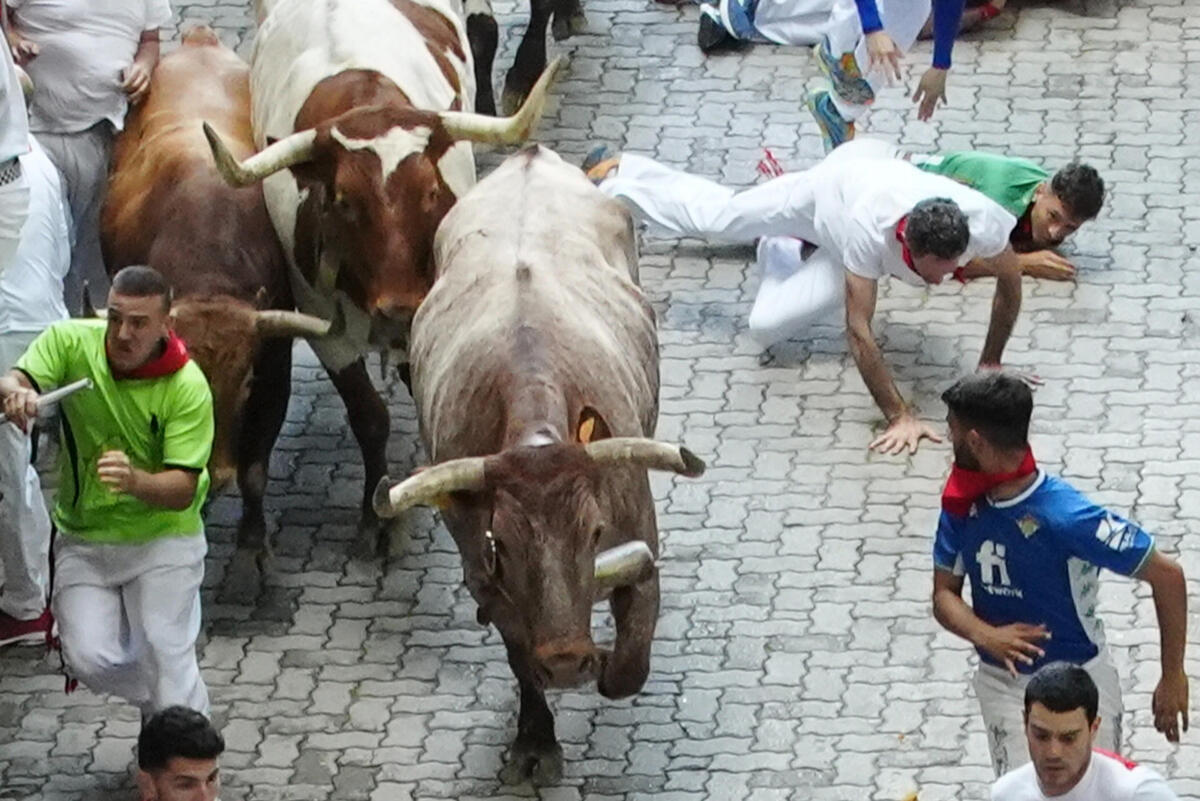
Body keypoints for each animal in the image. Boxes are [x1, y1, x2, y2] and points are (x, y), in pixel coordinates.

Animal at [206, 0, 561, 563]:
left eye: (431, 192)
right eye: (344, 201)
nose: (398, 307)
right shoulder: (320, 323)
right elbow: (368, 415)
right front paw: (378, 518)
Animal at [376, 146, 700, 786]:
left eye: (595, 530)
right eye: (502, 542)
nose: (569, 661)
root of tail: (530, 156)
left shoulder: (641, 546)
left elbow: (629, 668)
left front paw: (603, 664)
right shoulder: (485, 573)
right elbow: (520, 654)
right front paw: (536, 740)